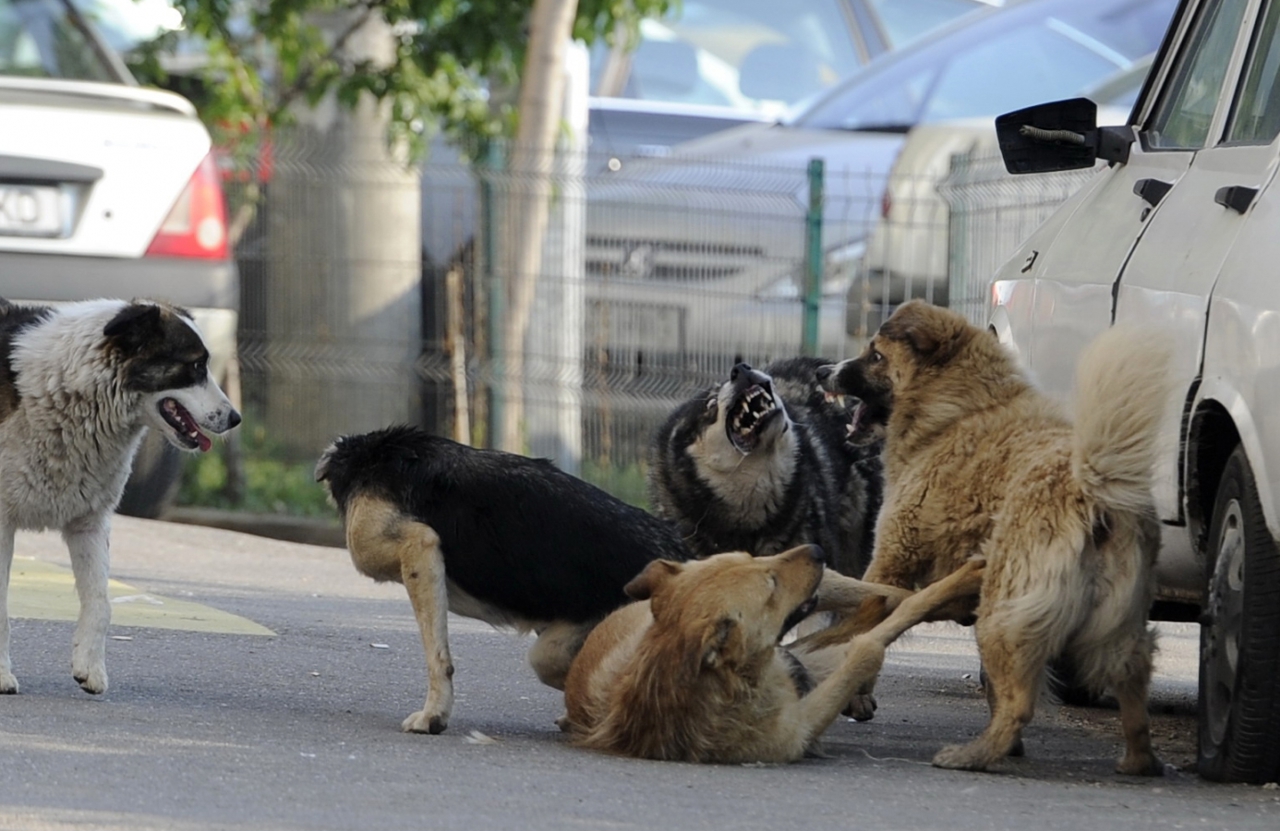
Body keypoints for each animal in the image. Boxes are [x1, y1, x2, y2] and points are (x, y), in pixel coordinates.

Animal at [0, 298, 240, 691]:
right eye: (194, 366)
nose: (235, 419)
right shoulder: (3, 524)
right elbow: (2, 608)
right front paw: (3, 675)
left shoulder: (90, 524)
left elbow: (101, 602)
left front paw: (90, 667)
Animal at [558, 540, 977, 763]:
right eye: (771, 584)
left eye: (748, 557)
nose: (817, 548)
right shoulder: (803, 723)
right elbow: (870, 646)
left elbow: (895, 611)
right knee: (884, 607)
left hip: (827, 588)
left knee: (886, 594)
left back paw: (962, 592)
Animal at [808, 300, 1172, 773]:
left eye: (876, 355)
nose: (822, 372)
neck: (960, 408)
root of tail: (1093, 487)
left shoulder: (891, 559)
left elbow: (867, 621)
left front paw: (855, 694)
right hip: (1116, 625)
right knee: (1131, 689)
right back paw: (1137, 760)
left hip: (1002, 614)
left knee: (1021, 703)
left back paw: (971, 755)